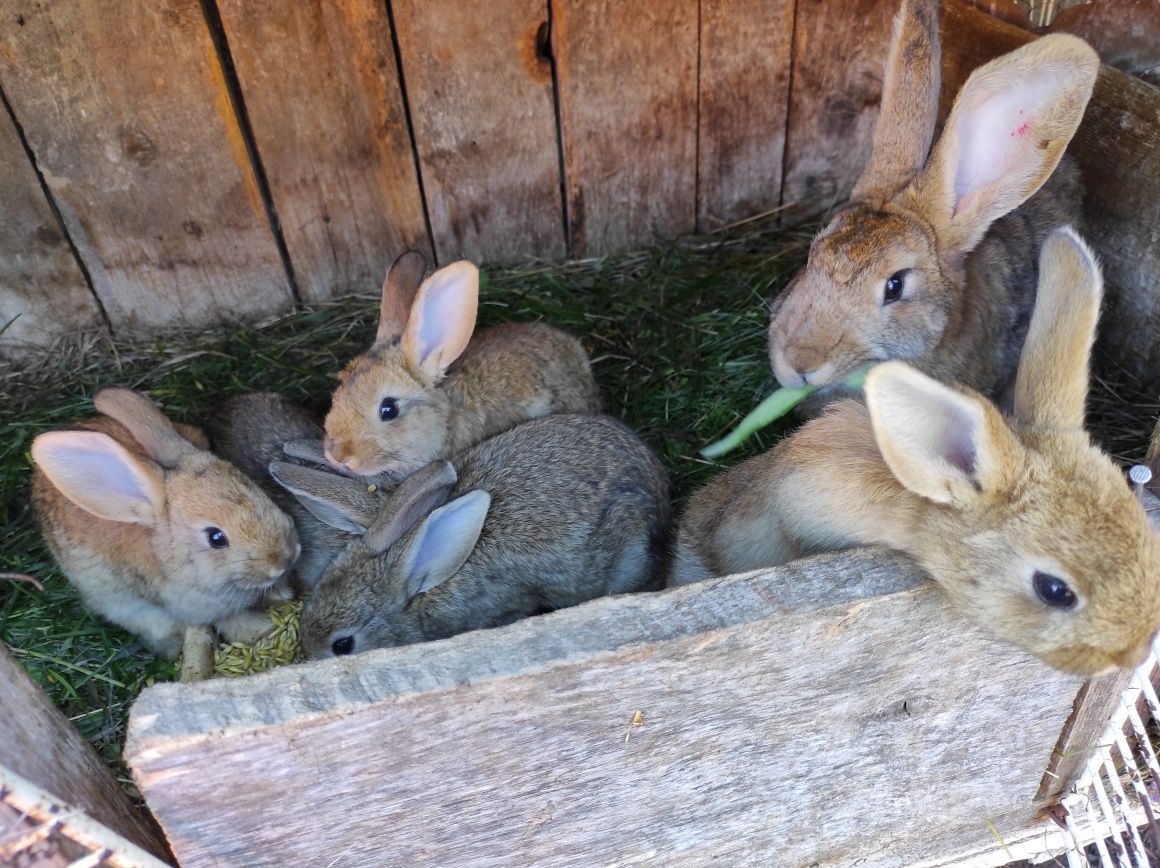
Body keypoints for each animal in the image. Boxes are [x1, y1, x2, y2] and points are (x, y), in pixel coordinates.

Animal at [30, 387, 301, 659]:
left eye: (254, 488)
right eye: (216, 538)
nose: (285, 557)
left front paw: (283, 595)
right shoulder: (199, 609)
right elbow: (230, 621)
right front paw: (263, 630)